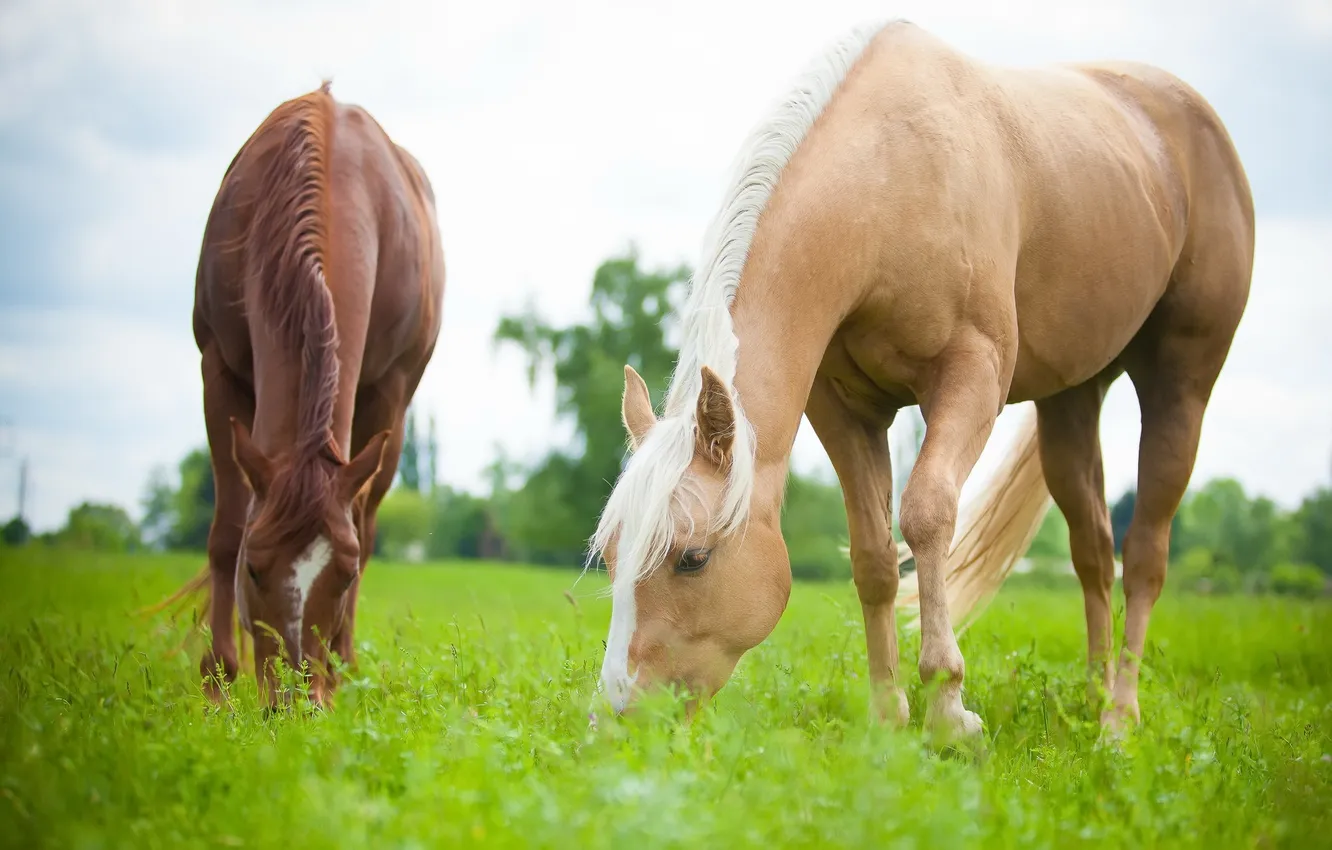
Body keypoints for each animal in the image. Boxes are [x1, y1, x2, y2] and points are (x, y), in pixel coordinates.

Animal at [164, 82, 445, 706]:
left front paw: (336, 673)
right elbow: (225, 531)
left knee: (368, 517)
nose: (298, 703)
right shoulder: (217, 370)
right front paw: (218, 683)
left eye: (342, 575)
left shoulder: (387, 395)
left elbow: (359, 528)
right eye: (254, 570)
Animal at [591, 19, 1253, 741]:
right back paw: (1092, 695)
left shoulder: (972, 376)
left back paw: (1118, 718)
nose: (617, 719)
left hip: (1179, 385)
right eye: (613, 554)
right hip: (1071, 401)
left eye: (692, 558)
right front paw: (888, 714)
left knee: (1146, 553)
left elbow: (927, 514)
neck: (890, 176)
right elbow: (873, 553)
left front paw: (948, 708)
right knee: (1094, 551)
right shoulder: (845, 409)